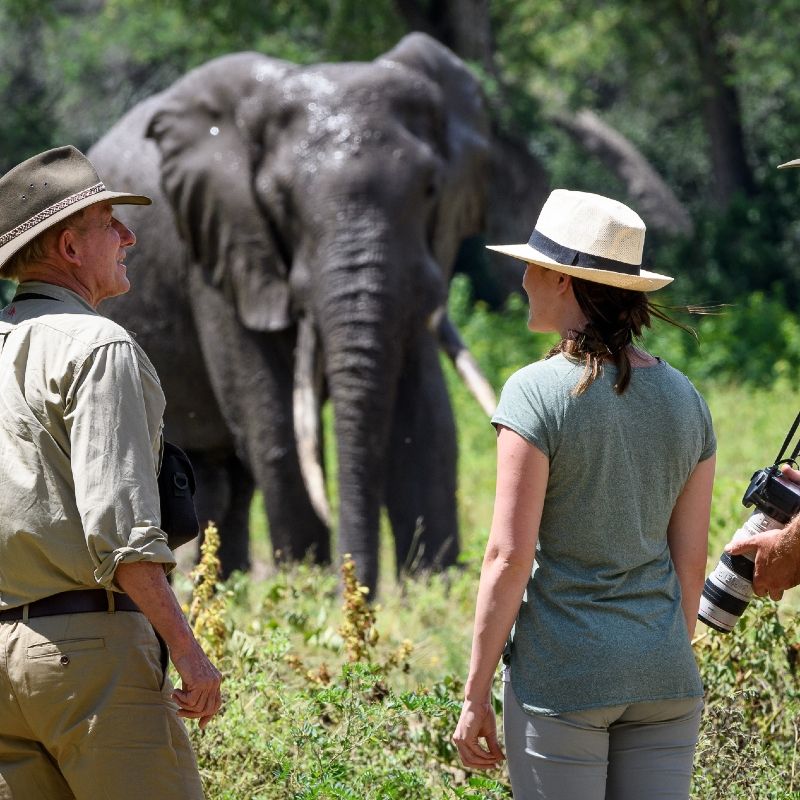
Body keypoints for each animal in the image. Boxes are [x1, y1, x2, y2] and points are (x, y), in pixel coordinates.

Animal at [88, 32, 492, 593]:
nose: (358, 589)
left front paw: (433, 591)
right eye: (279, 202)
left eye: (432, 188)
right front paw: (308, 587)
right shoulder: (220, 250)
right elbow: (276, 422)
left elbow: (428, 417)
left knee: (221, 477)